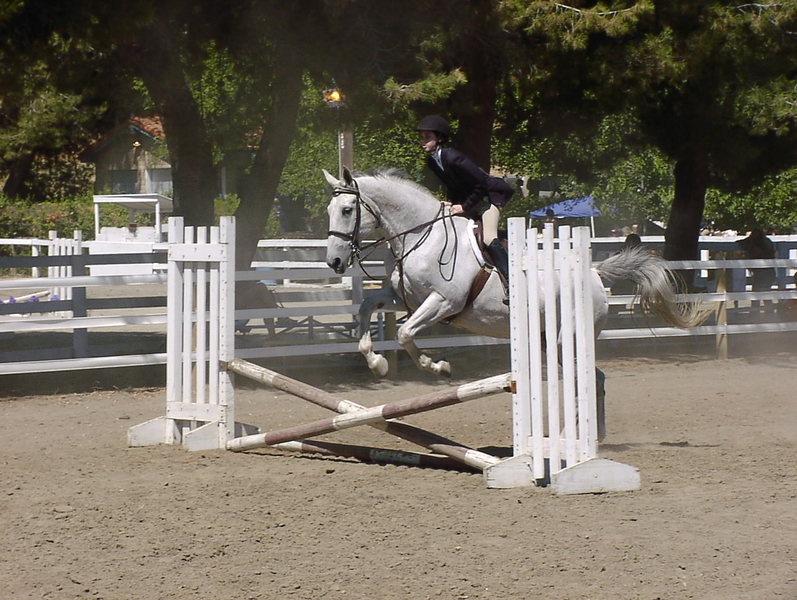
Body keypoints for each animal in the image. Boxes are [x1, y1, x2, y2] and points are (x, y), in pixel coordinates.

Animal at [324, 168, 705, 381]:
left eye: (347, 209)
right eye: (329, 209)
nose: (335, 262)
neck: (421, 235)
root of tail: (595, 274)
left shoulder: (443, 302)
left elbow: (404, 333)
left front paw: (440, 368)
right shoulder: (404, 298)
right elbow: (366, 308)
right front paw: (377, 365)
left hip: (568, 337)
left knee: (588, 376)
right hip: (549, 339)